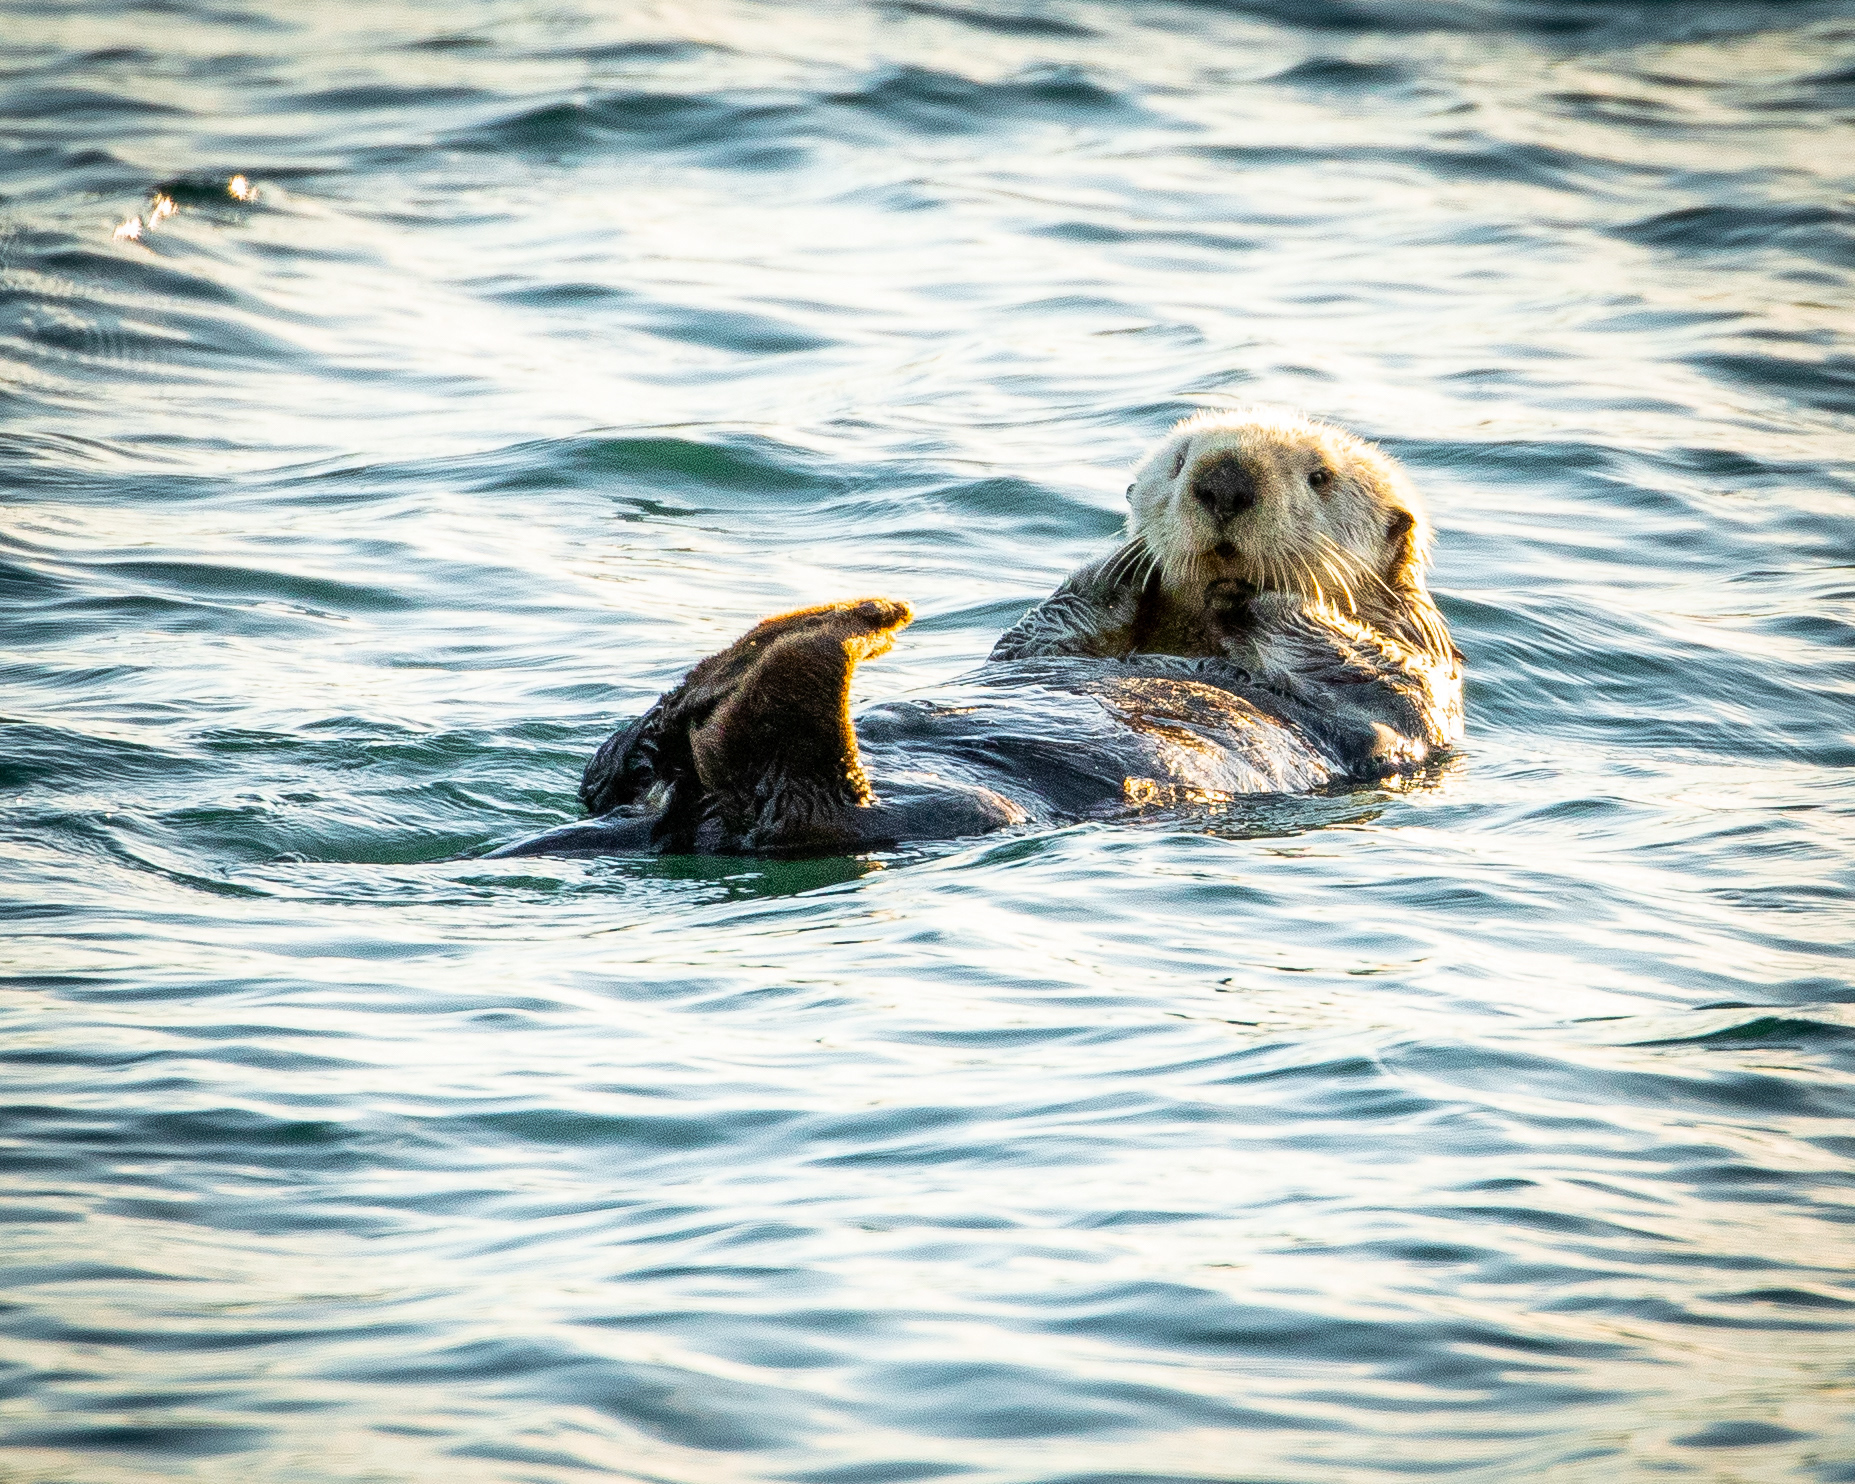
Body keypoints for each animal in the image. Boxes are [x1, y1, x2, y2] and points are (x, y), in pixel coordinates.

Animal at [487, 409, 1461, 859]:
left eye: (1319, 476)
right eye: (1181, 462)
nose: (1222, 482)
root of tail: (691, 822)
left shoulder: (1418, 693)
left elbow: (1366, 668)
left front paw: (1270, 600)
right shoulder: (1046, 646)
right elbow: (1042, 633)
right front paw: (1120, 564)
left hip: (927, 811)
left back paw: (829, 633)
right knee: (614, 770)